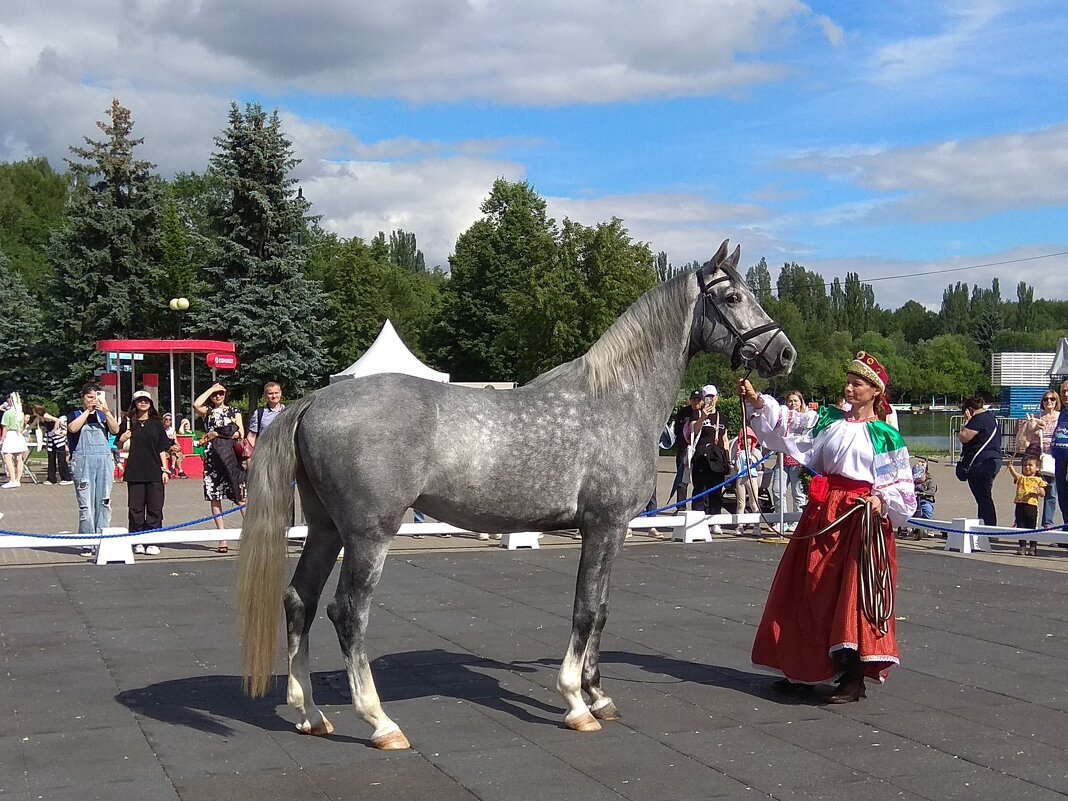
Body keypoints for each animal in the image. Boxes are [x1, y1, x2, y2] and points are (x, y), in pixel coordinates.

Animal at [242, 241, 794, 751]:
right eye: (732, 296)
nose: (784, 353)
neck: (616, 398)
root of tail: (315, 399)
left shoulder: (611, 532)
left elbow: (601, 609)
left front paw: (599, 695)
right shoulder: (604, 525)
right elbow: (586, 610)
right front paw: (575, 703)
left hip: (325, 528)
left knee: (300, 600)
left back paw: (310, 714)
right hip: (367, 535)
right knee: (347, 613)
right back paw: (380, 723)